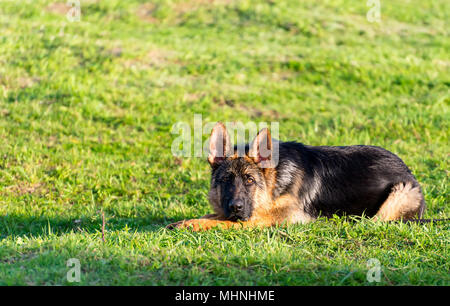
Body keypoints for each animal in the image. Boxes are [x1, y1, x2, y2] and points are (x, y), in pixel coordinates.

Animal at [167, 121, 428, 230]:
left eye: (249, 180)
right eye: (225, 181)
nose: (236, 207)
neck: (272, 186)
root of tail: (408, 170)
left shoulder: (265, 220)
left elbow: (221, 223)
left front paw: (191, 224)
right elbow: (214, 215)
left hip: (399, 193)